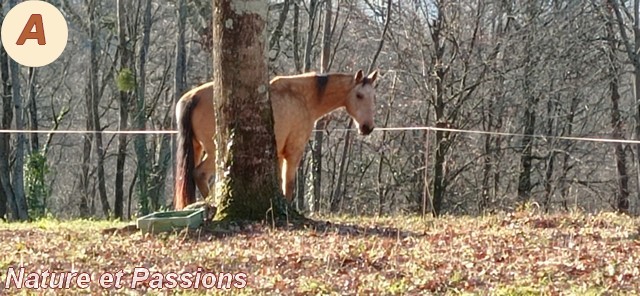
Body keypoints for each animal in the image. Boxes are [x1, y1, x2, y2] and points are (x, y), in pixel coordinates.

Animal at [172, 69, 378, 210]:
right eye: (359, 95)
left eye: (372, 97)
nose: (367, 127)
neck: (303, 96)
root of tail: (192, 97)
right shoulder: (293, 151)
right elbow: (288, 183)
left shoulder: (276, 154)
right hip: (216, 152)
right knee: (199, 174)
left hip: (196, 149)